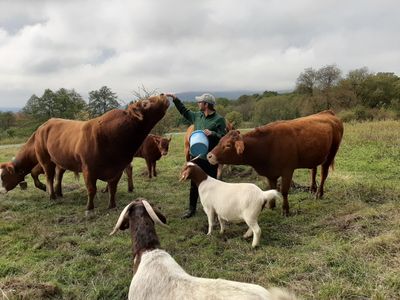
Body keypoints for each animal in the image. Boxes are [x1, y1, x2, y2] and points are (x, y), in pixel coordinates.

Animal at [33, 94, 170, 213]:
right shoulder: (88, 169)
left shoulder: (118, 169)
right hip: (45, 159)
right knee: (49, 176)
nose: (163, 94)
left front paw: (112, 205)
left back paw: (59, 193)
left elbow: (113, 188)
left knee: (59, 175)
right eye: (145, 103)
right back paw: (52, 196)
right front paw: (89, 208)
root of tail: (44, 125)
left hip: (61, 160)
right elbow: (91, 189)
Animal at [206, 110, 344, 216]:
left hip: (332, 153)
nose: (209, 156)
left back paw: (319, 193)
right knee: (313, 170)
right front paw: (271, 206)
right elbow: (272, 189)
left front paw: (285, 210)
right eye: (220, 140)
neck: (267, 145)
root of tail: (327, 112)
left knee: (324, 173)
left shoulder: (288, 170)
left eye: (228, 145)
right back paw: (312, 188)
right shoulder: (270, 173)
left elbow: (284, 190)